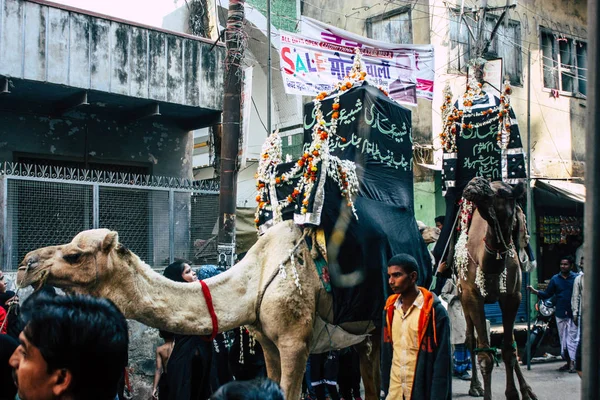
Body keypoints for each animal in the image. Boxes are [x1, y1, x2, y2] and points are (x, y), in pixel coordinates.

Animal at [16, 220, 380, 398]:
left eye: (74, 255)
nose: (24, 265)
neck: (256, 277)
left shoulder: (295, 342)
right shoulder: (268, 343)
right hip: (369, 334)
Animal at [458, 178, 536, 400]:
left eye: (503, 192)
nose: (474, 184)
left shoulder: (513, 296)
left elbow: (508, 348)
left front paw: (514, 393)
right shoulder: (472, 296)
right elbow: (485, 353)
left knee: (512, 343)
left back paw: (527, 391)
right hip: (462, 297)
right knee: (470, 339)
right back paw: (475, 386)